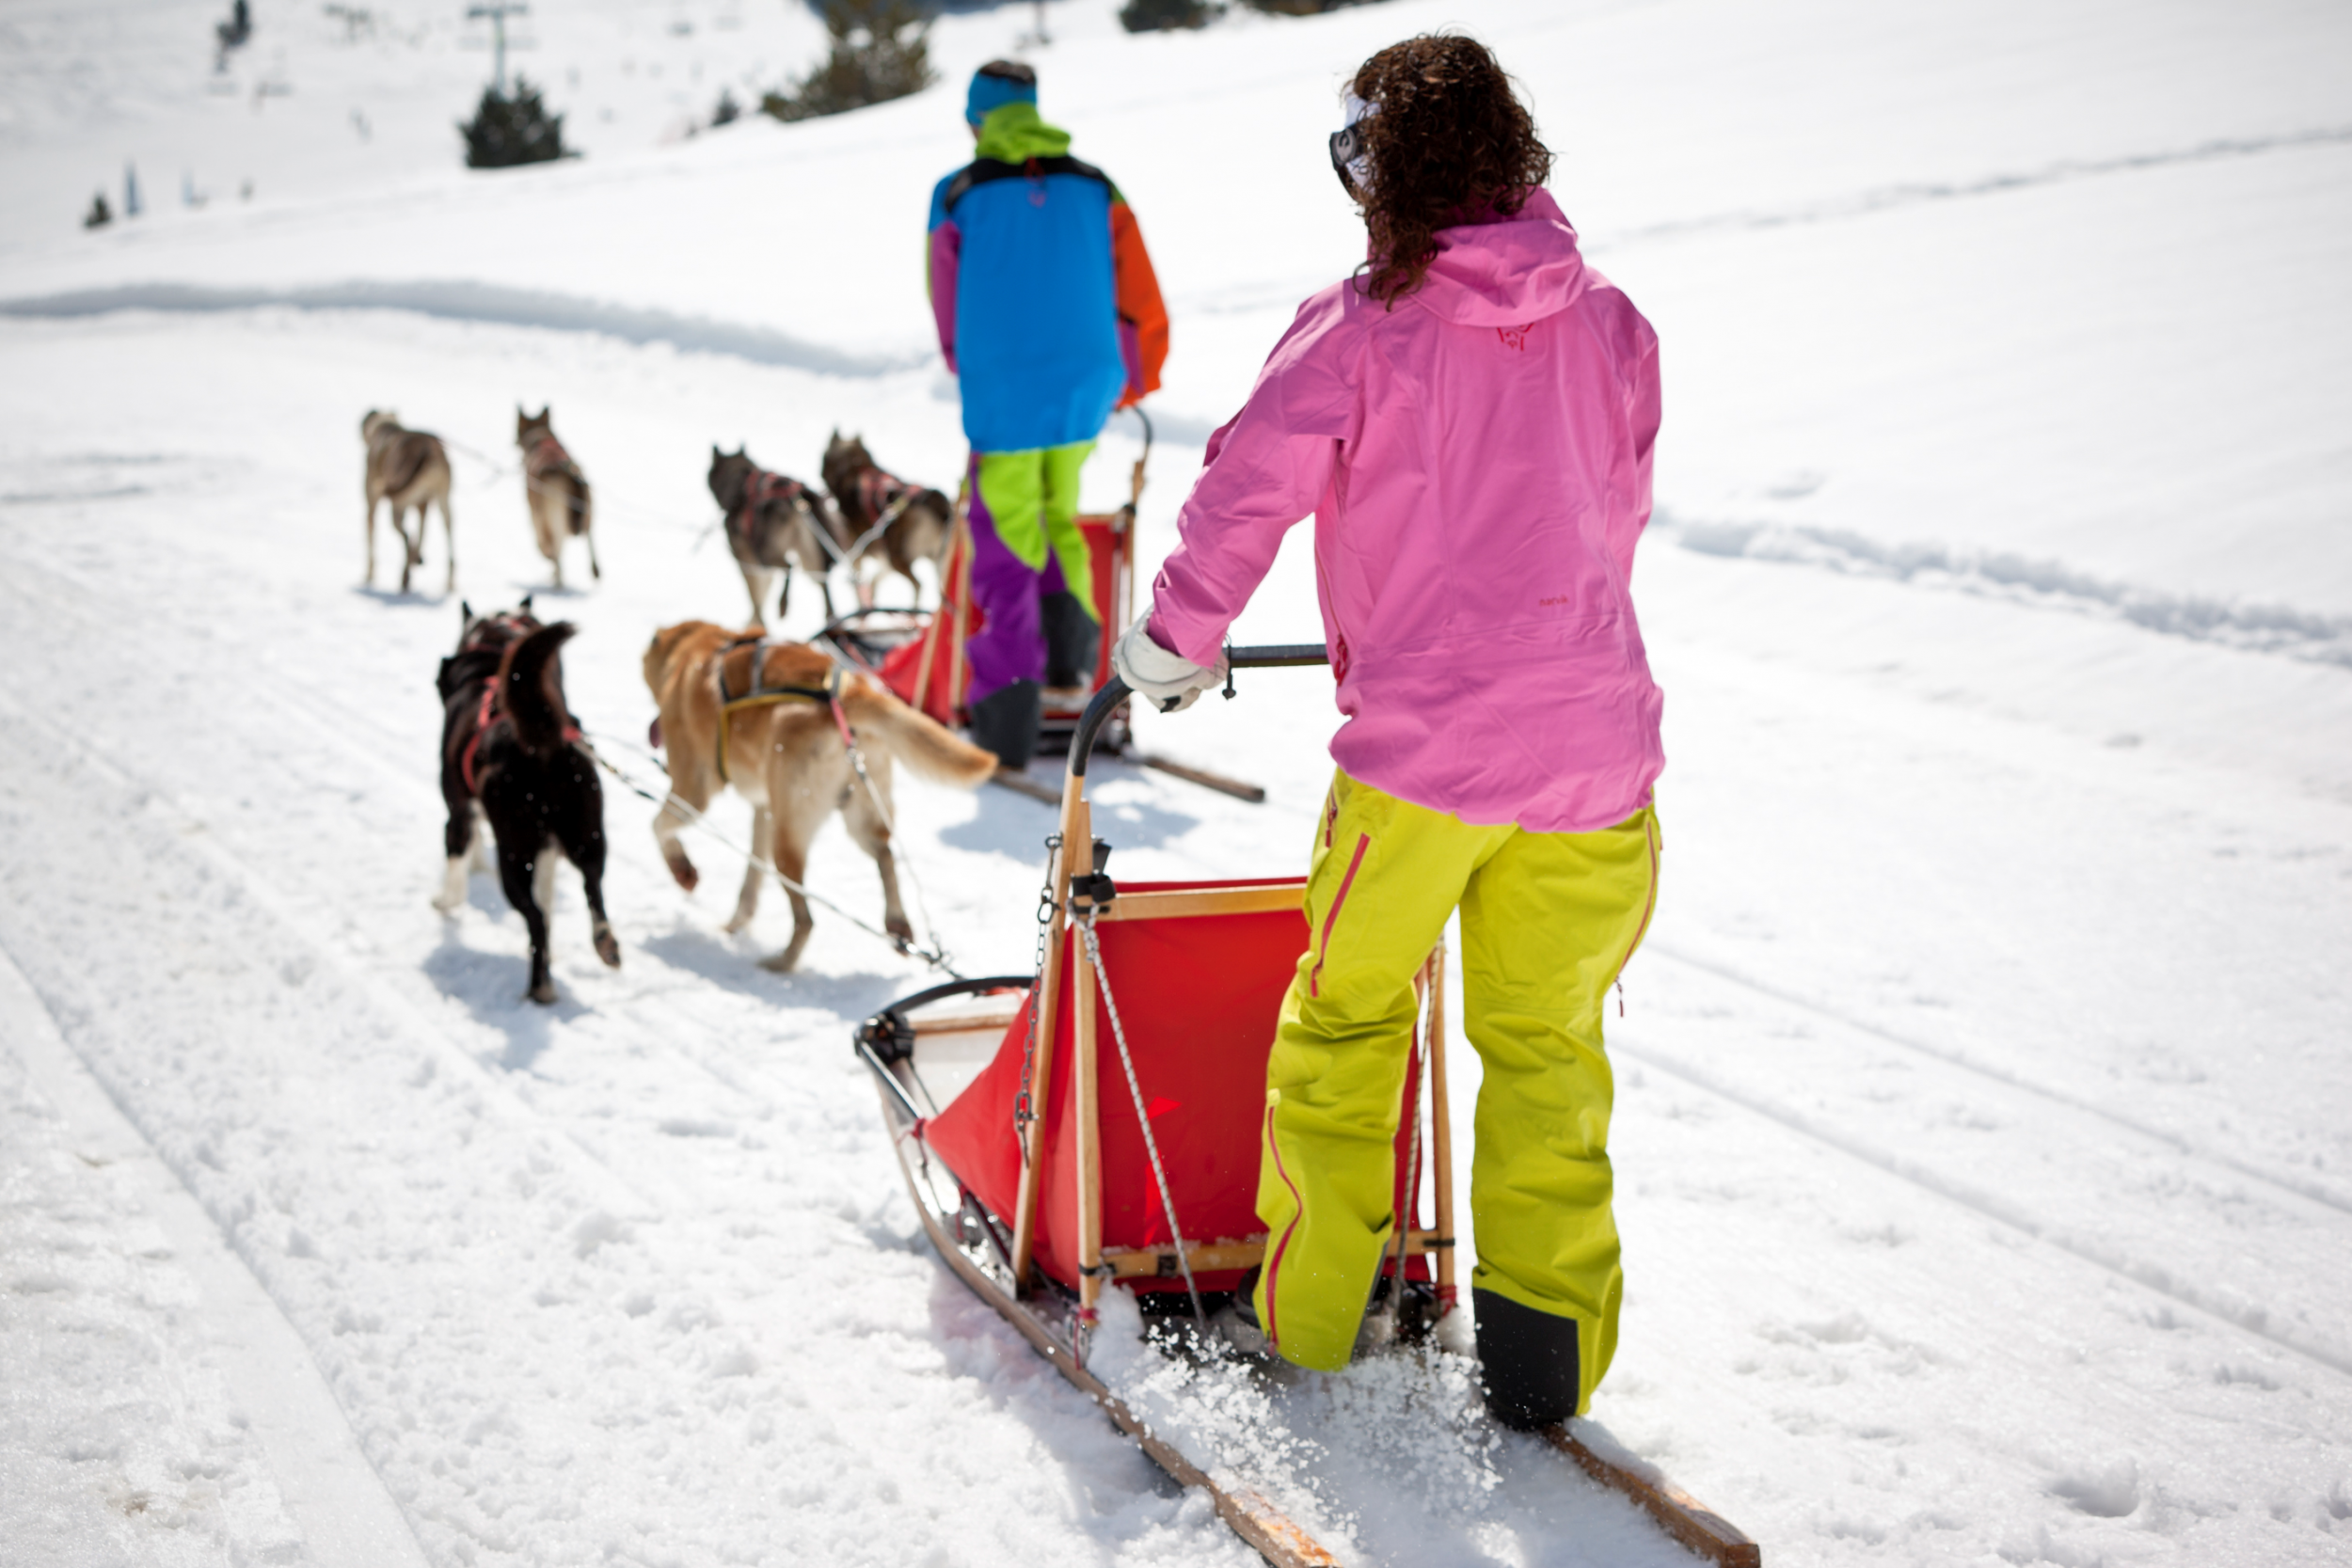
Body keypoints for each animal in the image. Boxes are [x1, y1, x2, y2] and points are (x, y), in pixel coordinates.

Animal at [430, 601, 621, 1006]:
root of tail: (537, 738)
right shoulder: (547, 848)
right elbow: (549, 905)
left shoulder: (458, 811)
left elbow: (456, 863)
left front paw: (446, 900)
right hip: (587, 836)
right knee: (591, 887)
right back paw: (603, 943)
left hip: (514, 852)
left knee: (532, 916)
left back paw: (539, 987)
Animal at [640, 620, 997, 968]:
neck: (704, 647)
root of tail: (846, 694)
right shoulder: (764, 810)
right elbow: (751, 880)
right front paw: (735, 923)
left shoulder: (692, 791)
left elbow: (659, 827)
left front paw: (682, 869)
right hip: (859, 814)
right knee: (885, 855)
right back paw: (896, 922)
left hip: (788, 838)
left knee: (806, 919)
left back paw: (782, 962)